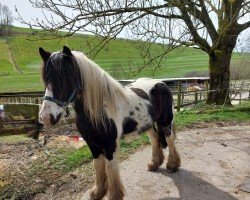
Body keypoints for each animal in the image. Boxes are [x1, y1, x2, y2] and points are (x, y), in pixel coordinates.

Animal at [38, 45, 180, 200]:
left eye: (65, 78)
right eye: (45, 80)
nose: (46, 117)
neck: (98, 110)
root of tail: (161, 83)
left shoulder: (110, 144)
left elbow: (110, 168)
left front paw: (114, 194)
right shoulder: (92, 144)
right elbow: (98, 166)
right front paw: (98, 192)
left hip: (166, 121)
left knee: (170, 139)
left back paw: (173, 165)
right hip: (147, 123)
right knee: (154, 139)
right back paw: (154, 164)